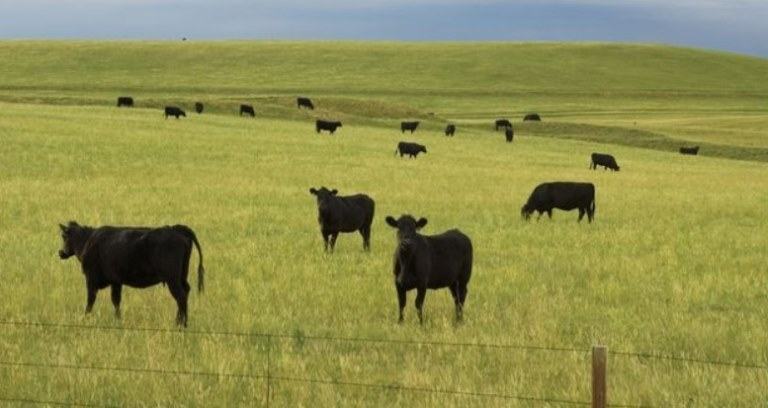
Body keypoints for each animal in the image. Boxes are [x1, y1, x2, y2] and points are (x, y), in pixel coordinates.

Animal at [57, 221, 205, 327]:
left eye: (64, 236)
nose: (61, 252)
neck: (87, 241)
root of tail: (175, 228)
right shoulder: (116, 281)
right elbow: (116, 300)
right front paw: (118, 320)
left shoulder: (91, 279)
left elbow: (90, 300)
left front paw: (85, 318)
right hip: (181, 276)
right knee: (185, 292)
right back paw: (182, 323)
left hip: (172, 279)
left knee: (181, 296)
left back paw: (180, 324)